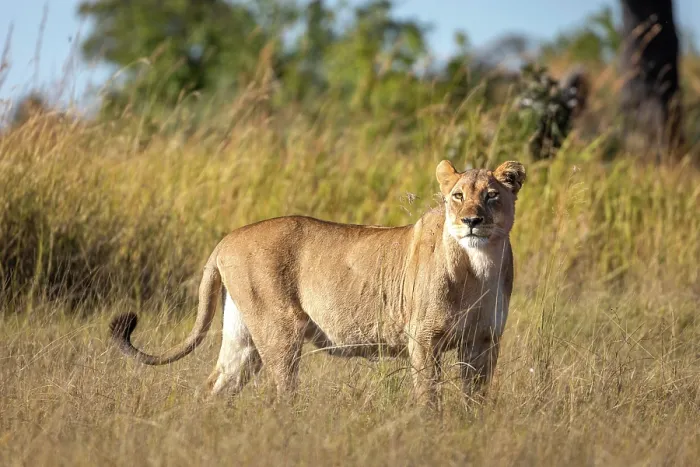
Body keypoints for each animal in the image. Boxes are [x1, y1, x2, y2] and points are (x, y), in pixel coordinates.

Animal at [110, 159, 526, 406]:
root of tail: (226, 239)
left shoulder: (484, 342)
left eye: (492, 195)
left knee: (215, 386)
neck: (479, 266)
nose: (471, 220)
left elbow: (476, 400)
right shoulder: (423, 339)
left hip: (243, 337)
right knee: (281, 396)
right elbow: (429, 399)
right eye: (457, 196)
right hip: (281, 329)